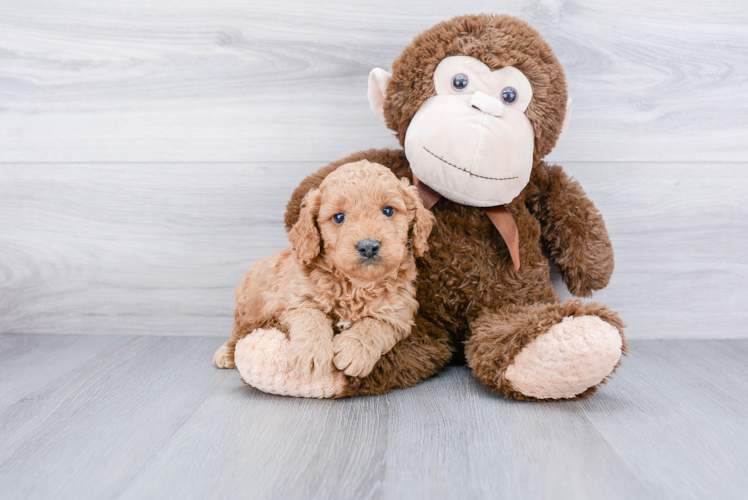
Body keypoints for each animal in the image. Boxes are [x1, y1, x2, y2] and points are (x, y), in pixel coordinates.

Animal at [212, 161, 432, 378]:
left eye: (388, 211)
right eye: (339, 217)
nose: (368, 246)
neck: (355, 286)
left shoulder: (399, 313)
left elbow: (375, 324)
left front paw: (354, 350)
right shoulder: (292, 301)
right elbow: (311, 316)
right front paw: (312, 352)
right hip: (247, 306)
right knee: (240, 330)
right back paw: (224, 353)